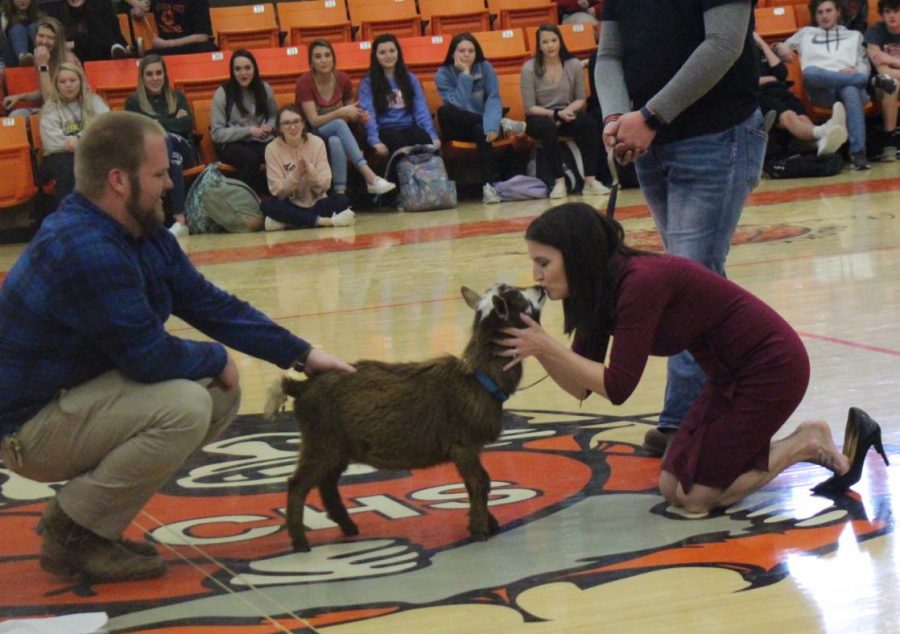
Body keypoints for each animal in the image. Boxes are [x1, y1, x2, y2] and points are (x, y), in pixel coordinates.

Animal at [268, 284, 544, 552]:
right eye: (519, 298)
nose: (540, 287)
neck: (479, 378)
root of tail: (301, 386)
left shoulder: (466, 450)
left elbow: (472, 483)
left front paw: (487, 523)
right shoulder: (464, 445)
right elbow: (480, 482)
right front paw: (480, 529)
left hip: (338, 449)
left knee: (326, 484)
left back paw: (347, 526)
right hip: (321, 443)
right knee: (297, 484)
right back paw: (300, 541)